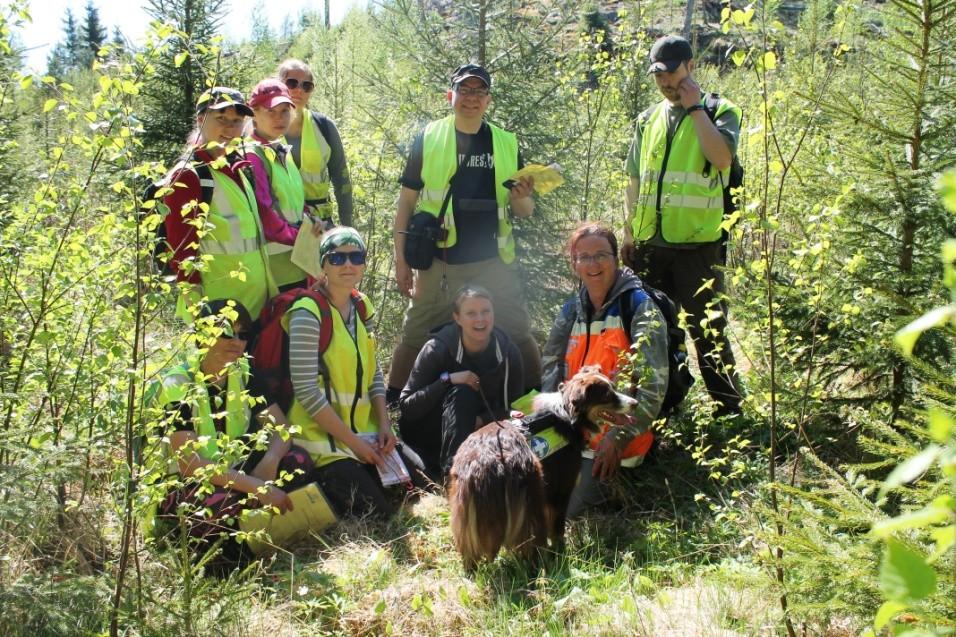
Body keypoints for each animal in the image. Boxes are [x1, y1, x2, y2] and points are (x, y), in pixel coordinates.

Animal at [446, 366, 636, 568]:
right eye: (606, 395)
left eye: (613, 387)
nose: (636, 403)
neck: (569, 416)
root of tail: (480, 461)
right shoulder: (561, 489)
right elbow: (558, 530)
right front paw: (561, 552)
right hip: (531, 499)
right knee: (531, 546)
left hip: (464, 512)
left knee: (469, 553)